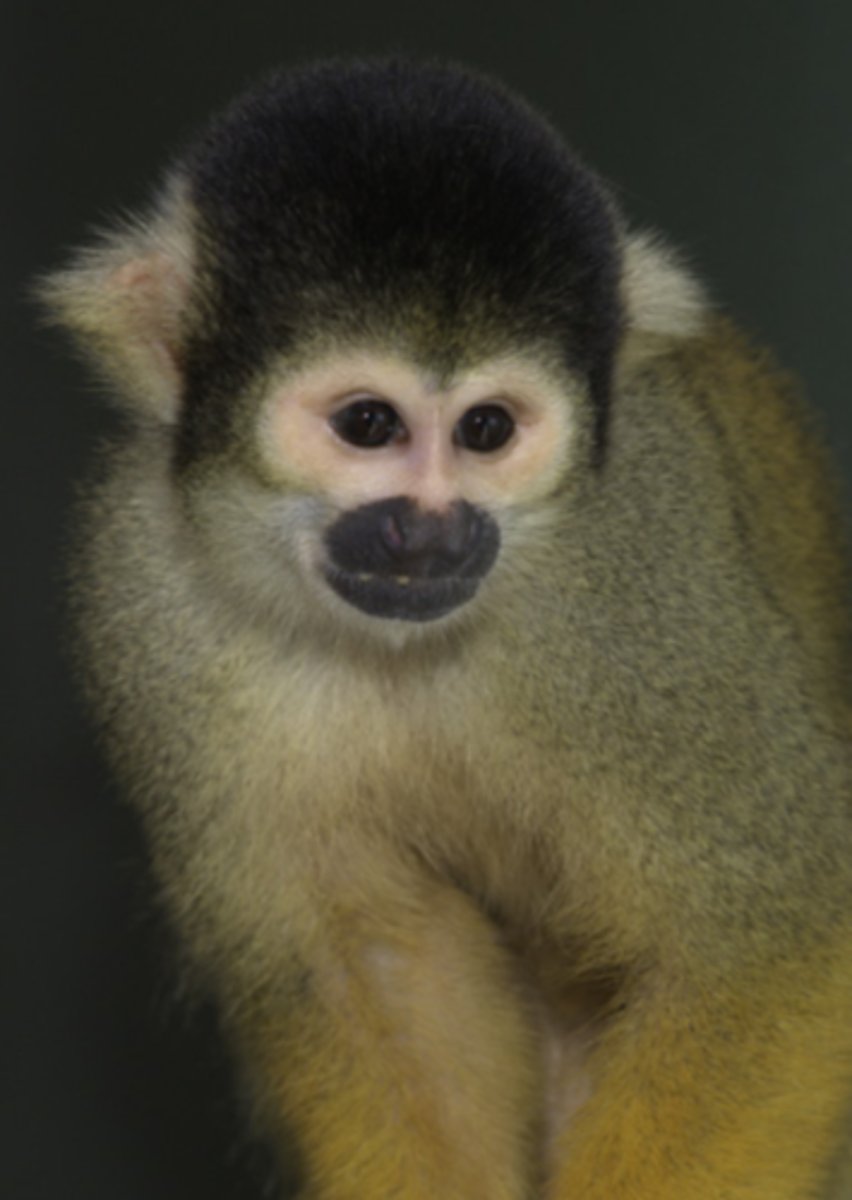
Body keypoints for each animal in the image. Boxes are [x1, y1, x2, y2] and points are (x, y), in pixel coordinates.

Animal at [41, 56, 852, 1199]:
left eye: (487, 430)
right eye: (369, 424)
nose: (427, 530)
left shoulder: (643, 581)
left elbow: (775, 938)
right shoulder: (142, 591)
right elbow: (375, 963)